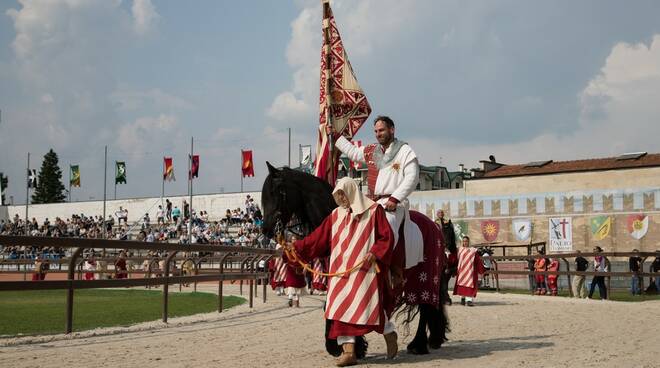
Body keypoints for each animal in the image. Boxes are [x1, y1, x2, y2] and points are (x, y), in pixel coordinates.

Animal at [262, 162, 448, 356]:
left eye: (277, 191)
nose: (266, 228)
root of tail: (435, 227)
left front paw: (344, 346)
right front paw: (349, 345)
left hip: (425, 280)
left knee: (426, 308)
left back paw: (419, 344)